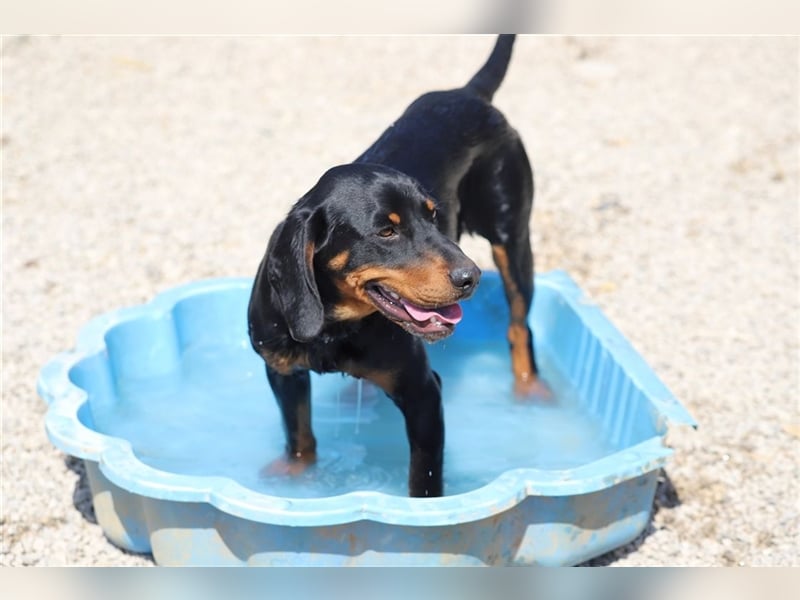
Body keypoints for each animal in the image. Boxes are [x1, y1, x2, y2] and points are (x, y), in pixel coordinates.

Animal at [250, 35, 544, 500]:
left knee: (519, 326)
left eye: (433, 215)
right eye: (386, 232)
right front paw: (299, 477)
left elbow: (423, 479)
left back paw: (529, 391)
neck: (335, 326)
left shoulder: (423, 395)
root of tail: (468, 94)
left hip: (511, 236)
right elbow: (300, 437)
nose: (471, 278)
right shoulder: (282, 370)